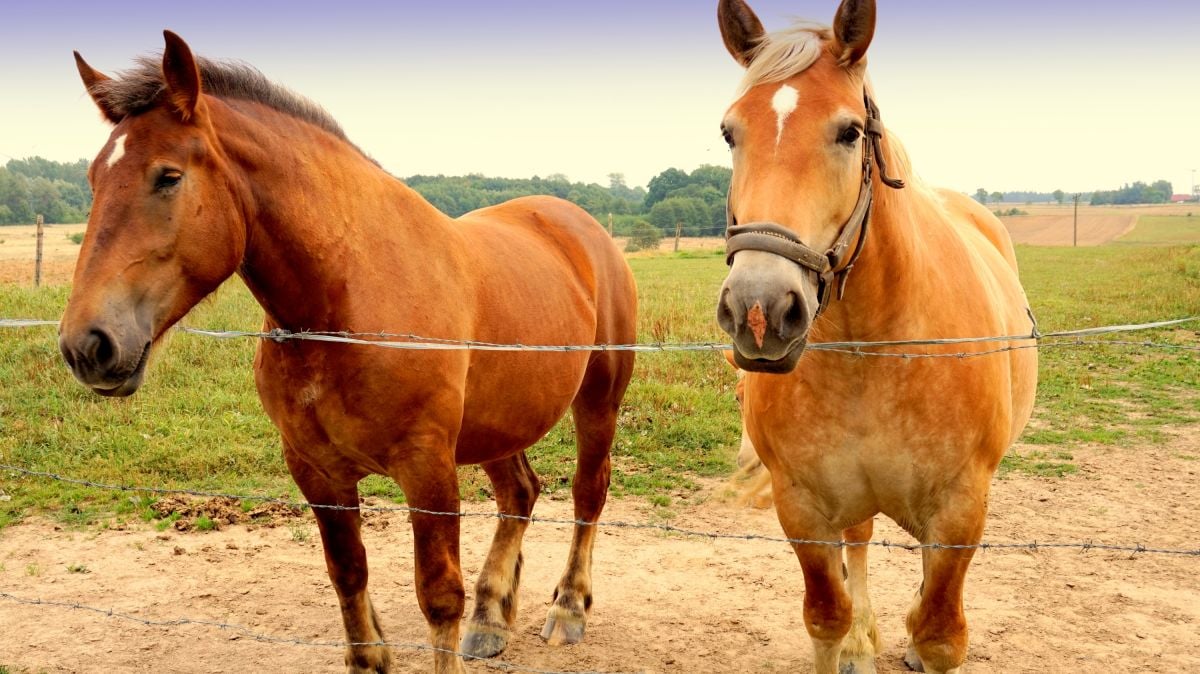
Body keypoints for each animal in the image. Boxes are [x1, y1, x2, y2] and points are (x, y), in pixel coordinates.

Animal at [60, 31, 638, 671]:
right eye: (93, 180)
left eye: (167, 176)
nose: (87, 344)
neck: (349, 301)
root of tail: (580, 225)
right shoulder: (316, 471)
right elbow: (347, 573)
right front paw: (374, 654)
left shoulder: (427, 468)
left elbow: (439, 595)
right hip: (499, 423)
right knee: (519, 493)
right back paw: (491, 618)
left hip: (598, 401)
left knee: (588, 493)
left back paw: (569, 608)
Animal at [710, 2, 1041, 666]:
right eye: (731, 133)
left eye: (850, 132)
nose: (759, 310)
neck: (870, 349)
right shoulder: (803, 506)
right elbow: (826, 617)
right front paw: (851, 639)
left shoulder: (959, 510)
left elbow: (940, 632)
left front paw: (919, 640)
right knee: (860, 542)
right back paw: (864, 642)